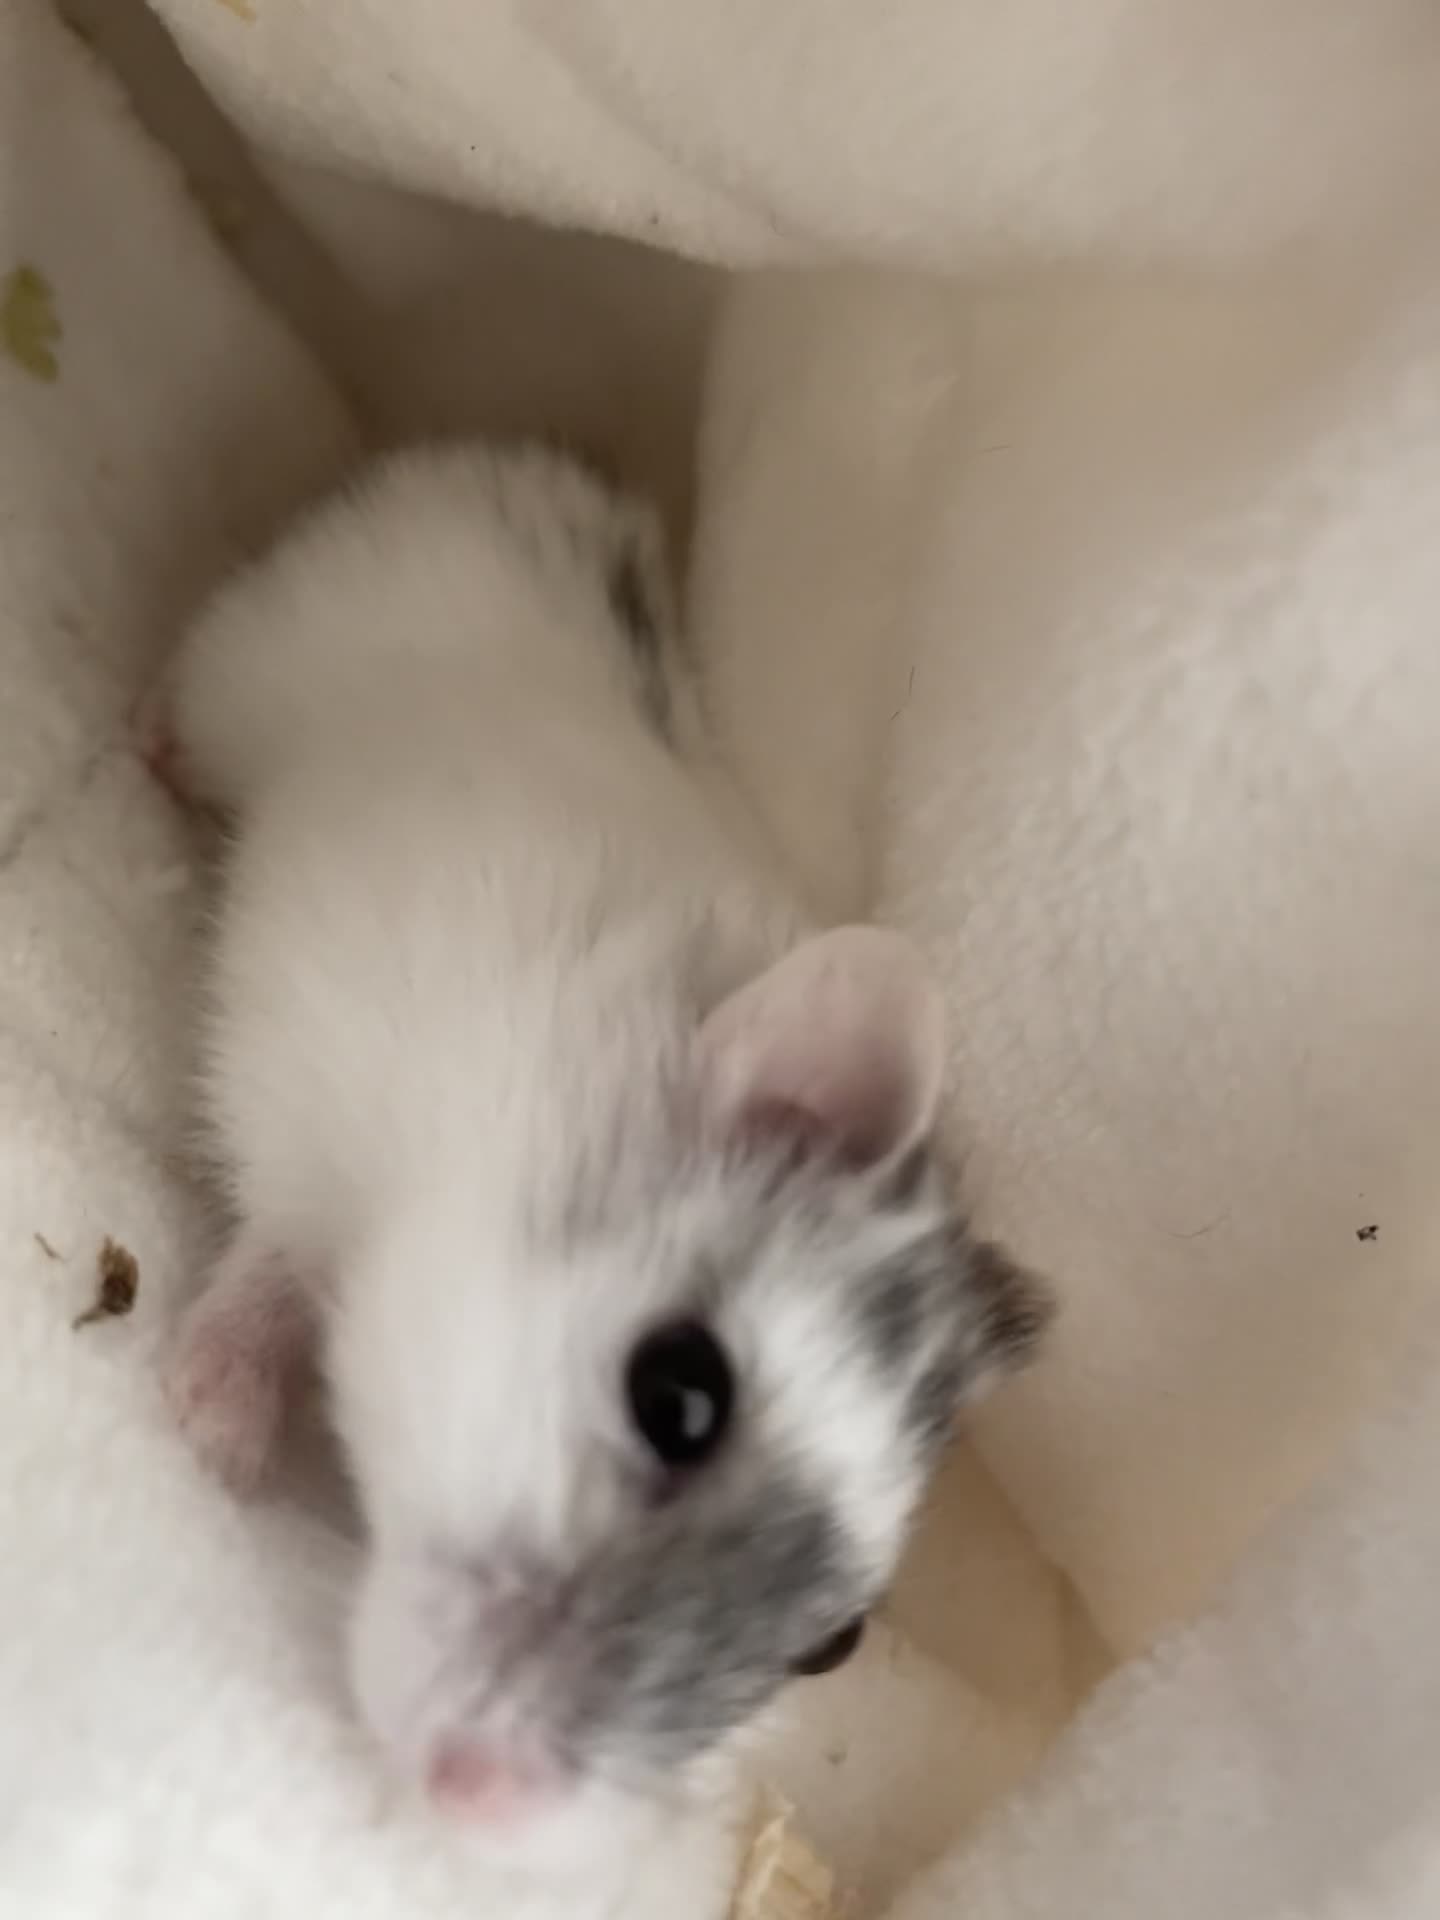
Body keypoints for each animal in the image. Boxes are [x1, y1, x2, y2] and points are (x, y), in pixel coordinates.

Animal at [154, 441, 1050, 1864]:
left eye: (836, 1644)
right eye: (676, 1392)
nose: (478, 1801)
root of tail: (512, 469)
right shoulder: (292, 1100)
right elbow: (271, 1265)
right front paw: (213, 1438)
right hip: (254, 640)